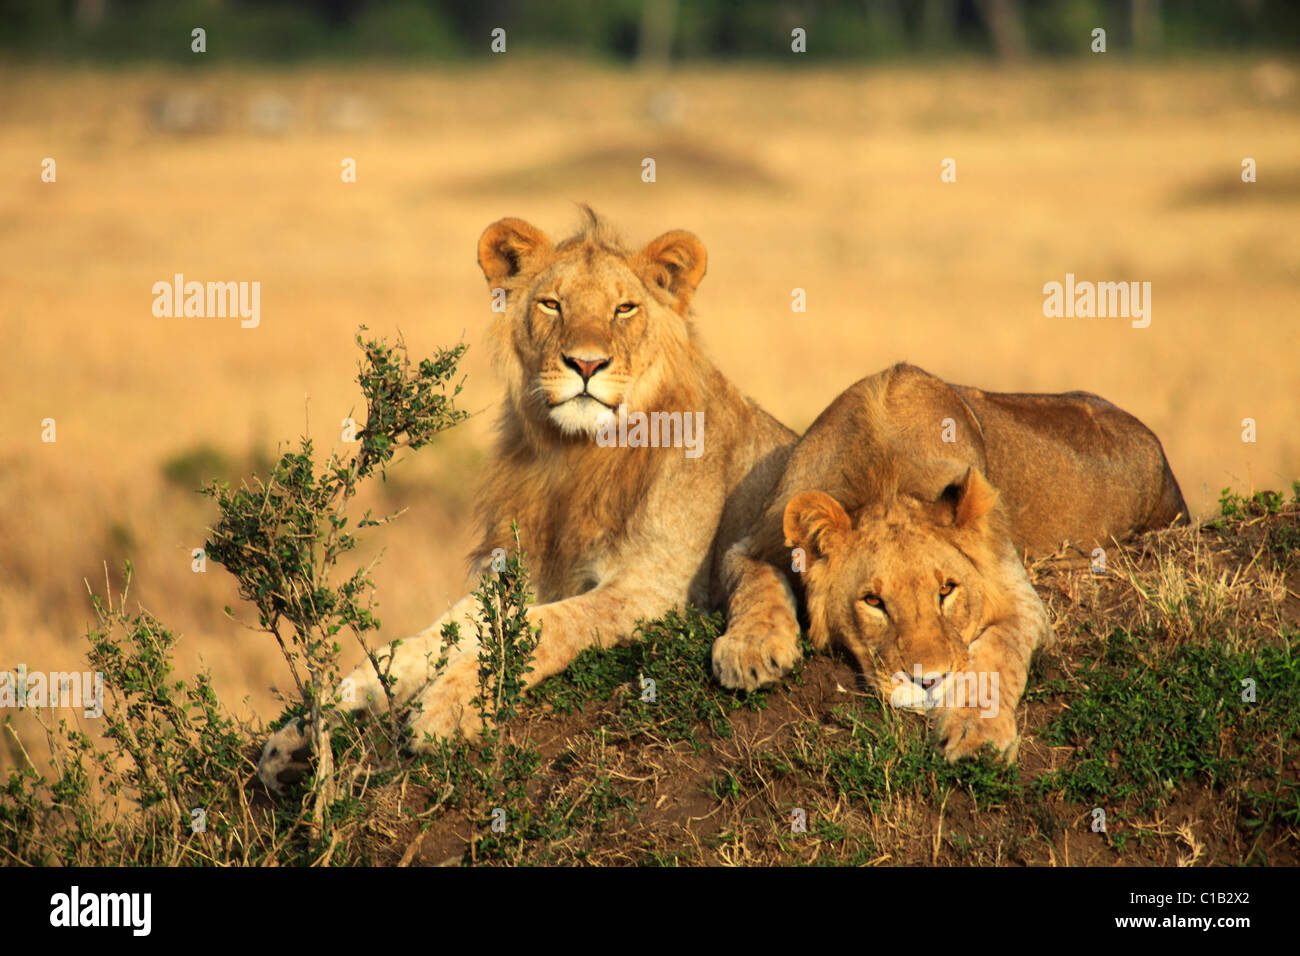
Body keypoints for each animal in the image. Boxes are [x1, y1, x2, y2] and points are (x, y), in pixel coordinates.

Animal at [258, 208, 795, 790]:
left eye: (624, 308)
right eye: (552, 304)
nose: (586, 364)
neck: (576, 456)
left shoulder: (654, 591)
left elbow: (542, 628)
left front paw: (446, 708)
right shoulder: (517, 576)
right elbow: (413, 647)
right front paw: (303, 735)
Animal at [713, 362, 1188, 760]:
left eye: (946, 590)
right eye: (873, 602)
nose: (928, 682)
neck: (886, 477)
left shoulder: (1019, 595)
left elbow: (998, 653)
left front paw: (978, 732)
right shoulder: (754, 544)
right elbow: (756, 584)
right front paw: (749, 651)